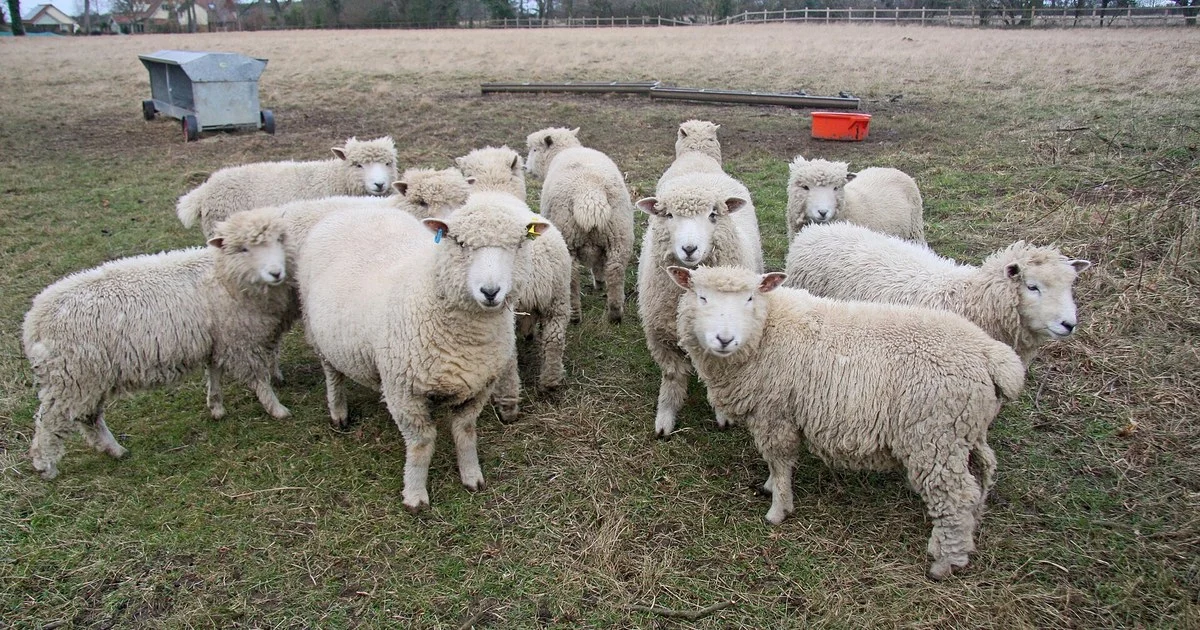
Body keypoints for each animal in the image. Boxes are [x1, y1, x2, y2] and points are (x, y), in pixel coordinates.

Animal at [24, 211, 296, 480]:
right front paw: (277, 409)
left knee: (88, 418)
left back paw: (115, 450)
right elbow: (258, 379)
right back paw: (46, 466)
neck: (224, 274)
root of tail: (33, 322)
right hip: (71, 378)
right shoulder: (240, 340)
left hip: (85, 379)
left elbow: (214, 372)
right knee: (50, 422)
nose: (276, 273)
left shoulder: (217, 338)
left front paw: (216, 406)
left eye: (279, 240)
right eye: (244, 249)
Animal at [297, 193, 549, 511]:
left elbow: (465, 432)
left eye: (518, 244)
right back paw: (338, 412)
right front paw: (415, 495)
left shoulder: (479, 385)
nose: (490, 291)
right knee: (333, 375)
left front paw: (471, 476)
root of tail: (352, 210)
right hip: (318, 333)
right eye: (459, 243)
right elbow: (421, 443)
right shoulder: (405, 392)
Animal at [525, 127, 635, 324]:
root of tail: (589, 193)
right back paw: (615, 314)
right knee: (615, 271)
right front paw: (599, 282)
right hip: (619, 235)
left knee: (573, 277)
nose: (526, 168)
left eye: (535, 150)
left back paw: (575, 315)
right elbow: (598, 264)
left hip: (568, 236)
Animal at [636, 171, 763, 438]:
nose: (689, 248)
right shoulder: (662, 336)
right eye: (669, 215)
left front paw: (723, 415)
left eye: (713, 215)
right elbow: (672, 376)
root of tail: (700, 170)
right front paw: (666, 416)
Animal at [669, 265, 1025, 580]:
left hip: (934, 436)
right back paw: (970, 526)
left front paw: (778, 509)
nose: (724, 339)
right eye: (701, 297)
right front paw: (770, 486)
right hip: (965, 430)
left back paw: (945, 562)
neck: (768, 329)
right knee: (982, 472)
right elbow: (774, 464)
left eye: (749, 298)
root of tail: (992, 356)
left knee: (956, 495)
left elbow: (780, 462)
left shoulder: (775, 414)